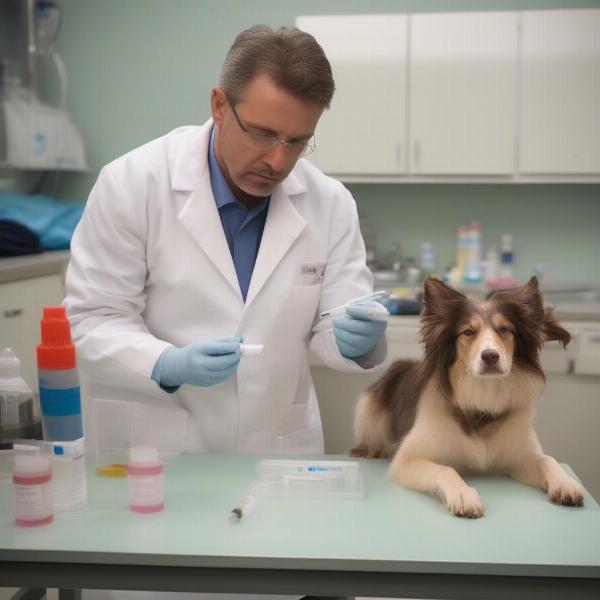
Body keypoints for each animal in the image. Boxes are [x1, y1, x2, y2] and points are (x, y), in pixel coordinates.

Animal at [354, 276, 584, 516]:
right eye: (468, 332)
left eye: (504, 329)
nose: (490, 356)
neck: (483, 395)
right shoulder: (407, 461)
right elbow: (445, 469)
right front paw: (463, 495)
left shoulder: (518, 458)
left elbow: (547, 459)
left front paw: (565, 483)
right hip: (367, 410)